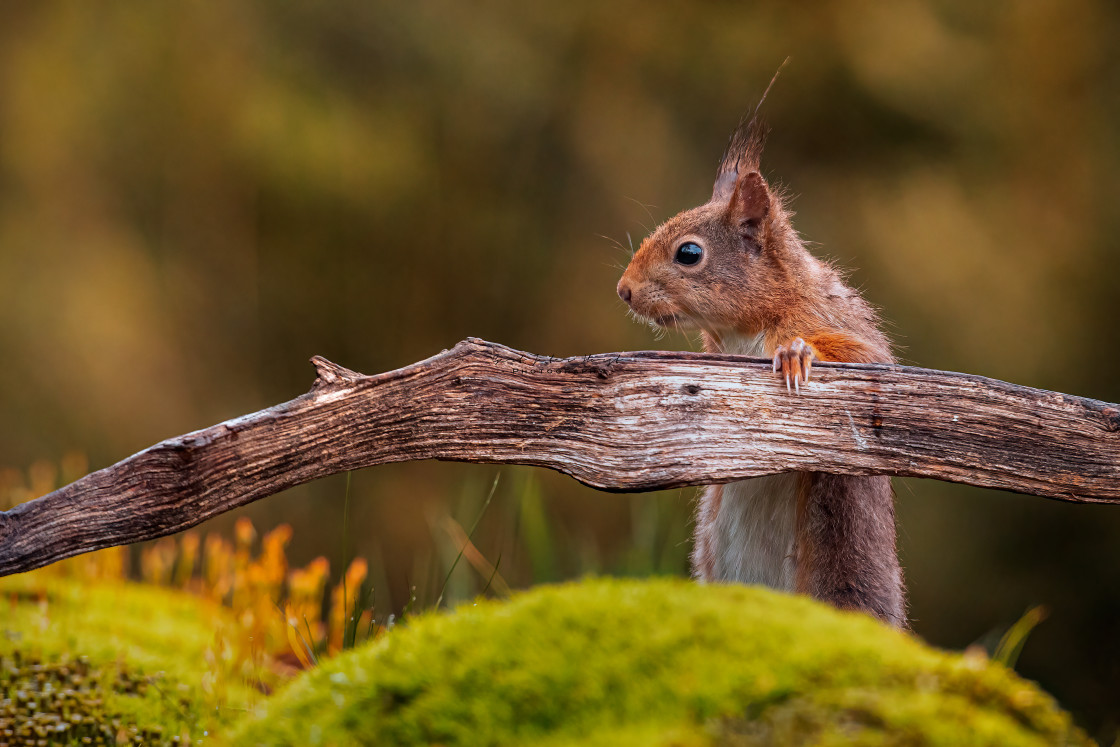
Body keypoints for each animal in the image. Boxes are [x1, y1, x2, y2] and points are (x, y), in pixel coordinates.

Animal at [618, 112, 904, 627]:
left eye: (689, 253)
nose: (623, 290)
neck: (745, 328)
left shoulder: (839, 327)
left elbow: (863, 360)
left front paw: (796, 354)